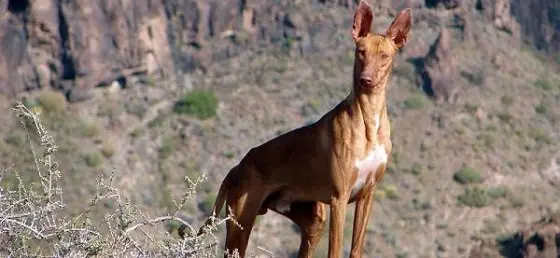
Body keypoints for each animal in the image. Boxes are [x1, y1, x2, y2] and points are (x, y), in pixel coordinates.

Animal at [197, 1, 412, 256]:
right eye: (361, 52)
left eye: (384, 56)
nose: (366, 80)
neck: (369, 119)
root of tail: (237, 166)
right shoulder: (339, 198)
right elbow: (335, 250)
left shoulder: (367, 195)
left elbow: (355, 248)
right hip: (241, 221)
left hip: (313, 221)